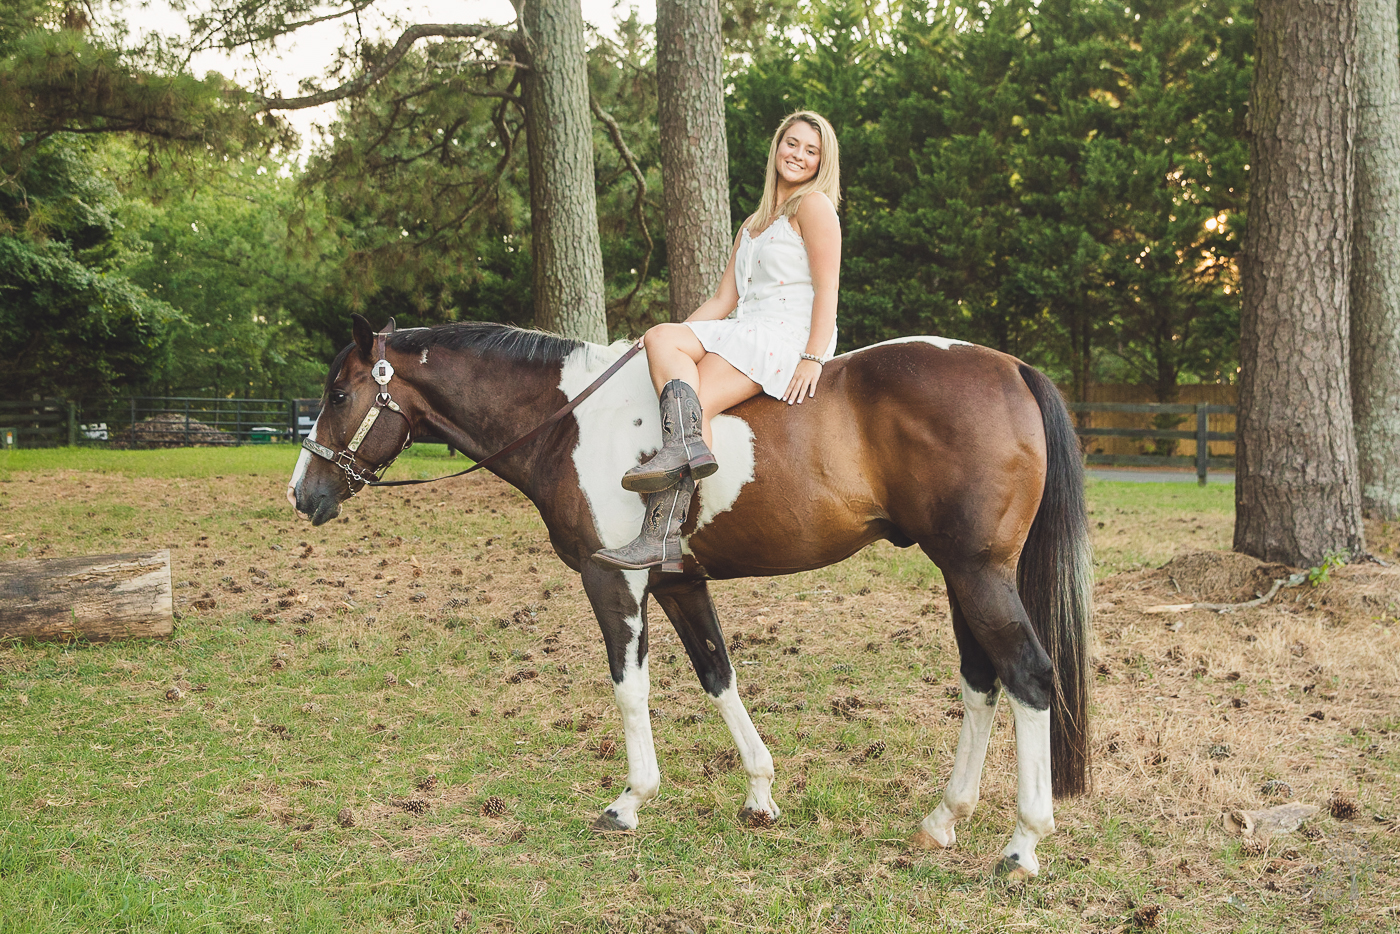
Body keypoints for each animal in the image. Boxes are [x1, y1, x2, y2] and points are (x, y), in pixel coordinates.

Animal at [284, 317, 1092, 879]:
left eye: (338, 393)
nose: (303, 494)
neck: (569, 421)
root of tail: (1012, 368)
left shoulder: (612, 578)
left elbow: (630, 687)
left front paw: (630, 800)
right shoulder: (679, 583)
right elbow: (717, 675)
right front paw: (760, 794)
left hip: (978, 573)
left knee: (1028, 676)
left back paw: (1022, 844)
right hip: (961, 576)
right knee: (982, 681)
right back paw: (945, 818)